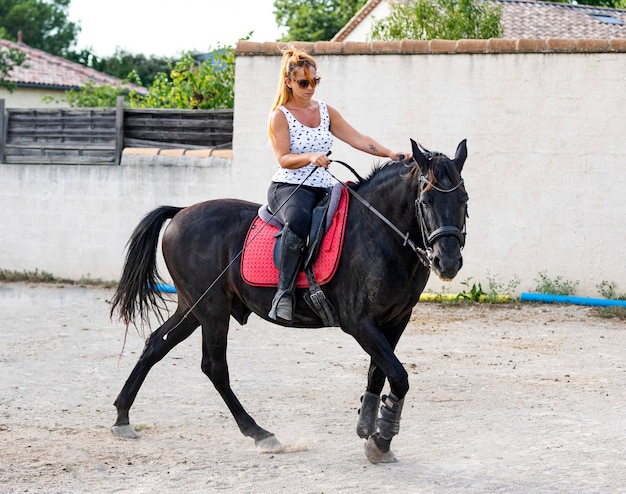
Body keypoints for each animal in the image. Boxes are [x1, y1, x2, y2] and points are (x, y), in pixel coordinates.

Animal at [108, 138, 468, 464]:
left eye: (463, 198)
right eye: (426, 200)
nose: (447, 262)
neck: (380, 233)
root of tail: (181, 212)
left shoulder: (395, 320)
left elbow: (379, 373)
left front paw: (369, 429)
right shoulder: (360, 323)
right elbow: (398, 376)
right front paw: (380, 442)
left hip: (191, 307)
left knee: (156, 344)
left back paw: (122, 416)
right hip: (211, 309)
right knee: (214, 367)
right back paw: (259, 432)